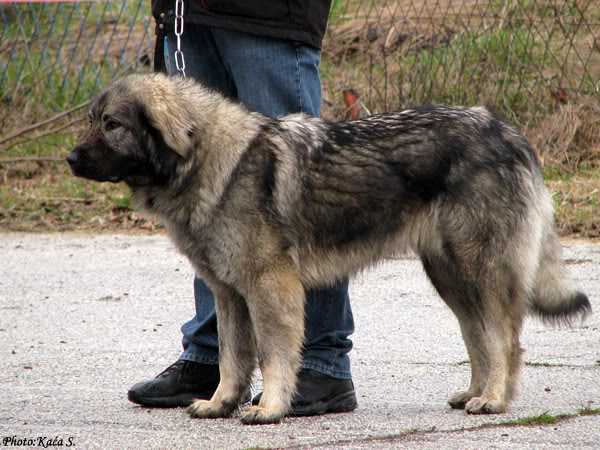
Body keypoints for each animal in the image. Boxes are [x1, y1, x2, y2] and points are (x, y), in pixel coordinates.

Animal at [67, 74, 592, 426]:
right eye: (92, 121)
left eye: (111, 124)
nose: (70, 158)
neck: (211, 160)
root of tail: (507, 132)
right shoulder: (230, 294)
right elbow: (232, 358)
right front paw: (220, 403)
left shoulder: (270, 288)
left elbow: (274, 355)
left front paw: (270, 408)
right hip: (451, 278)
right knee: (478, 337)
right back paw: (474, 393)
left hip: (479, 271)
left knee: (504, 340)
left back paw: (496, 400)